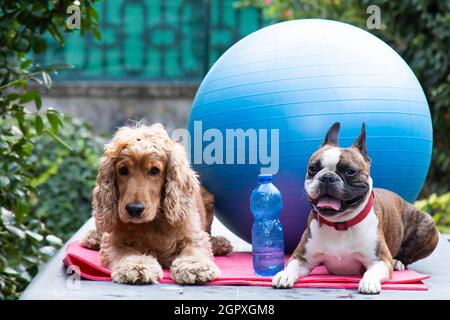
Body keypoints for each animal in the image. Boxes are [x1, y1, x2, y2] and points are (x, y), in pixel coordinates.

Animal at [272, 121, 438, 294]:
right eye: (312, 169)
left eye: (350, 171)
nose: (327, 177)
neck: (340, 224)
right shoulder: (302, 258)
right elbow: (291, 265)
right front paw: (284, 274)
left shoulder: (380, 260)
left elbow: (372, 271)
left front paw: (369, 282)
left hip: (428, 225)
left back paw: (398, 262)